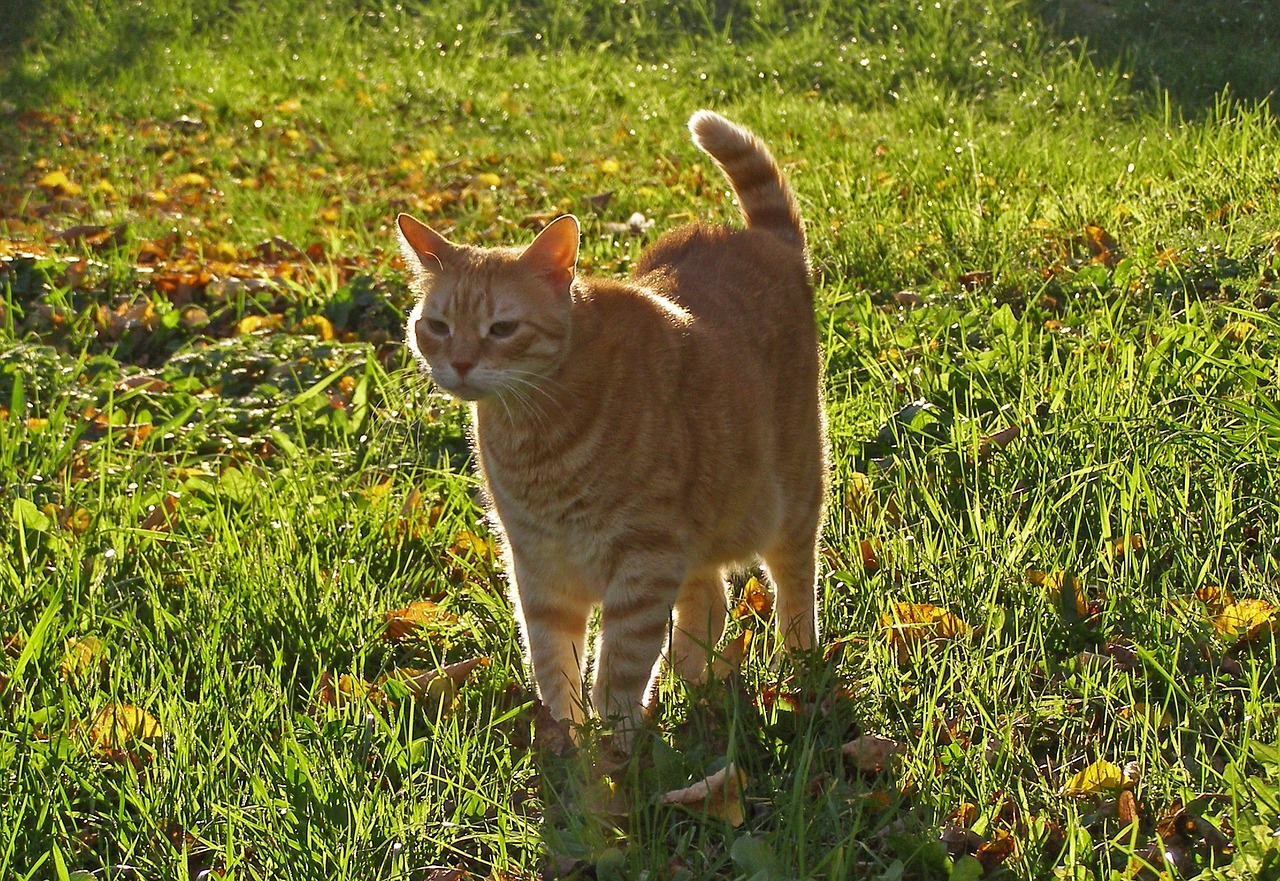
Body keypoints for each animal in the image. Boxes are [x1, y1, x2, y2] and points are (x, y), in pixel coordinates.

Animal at [394, 108, 824, 737]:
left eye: (502, 328)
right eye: (438, 326)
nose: (461, 363)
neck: (536, 437)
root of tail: (761, 238)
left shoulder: (644, 561)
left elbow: (620, 665)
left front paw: (614, 742)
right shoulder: (538, 565)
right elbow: (553, 661)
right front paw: (566, 734)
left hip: (789, 498)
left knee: (794, 585)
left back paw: (799, 662)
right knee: (708, 597)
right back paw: (692, 680)